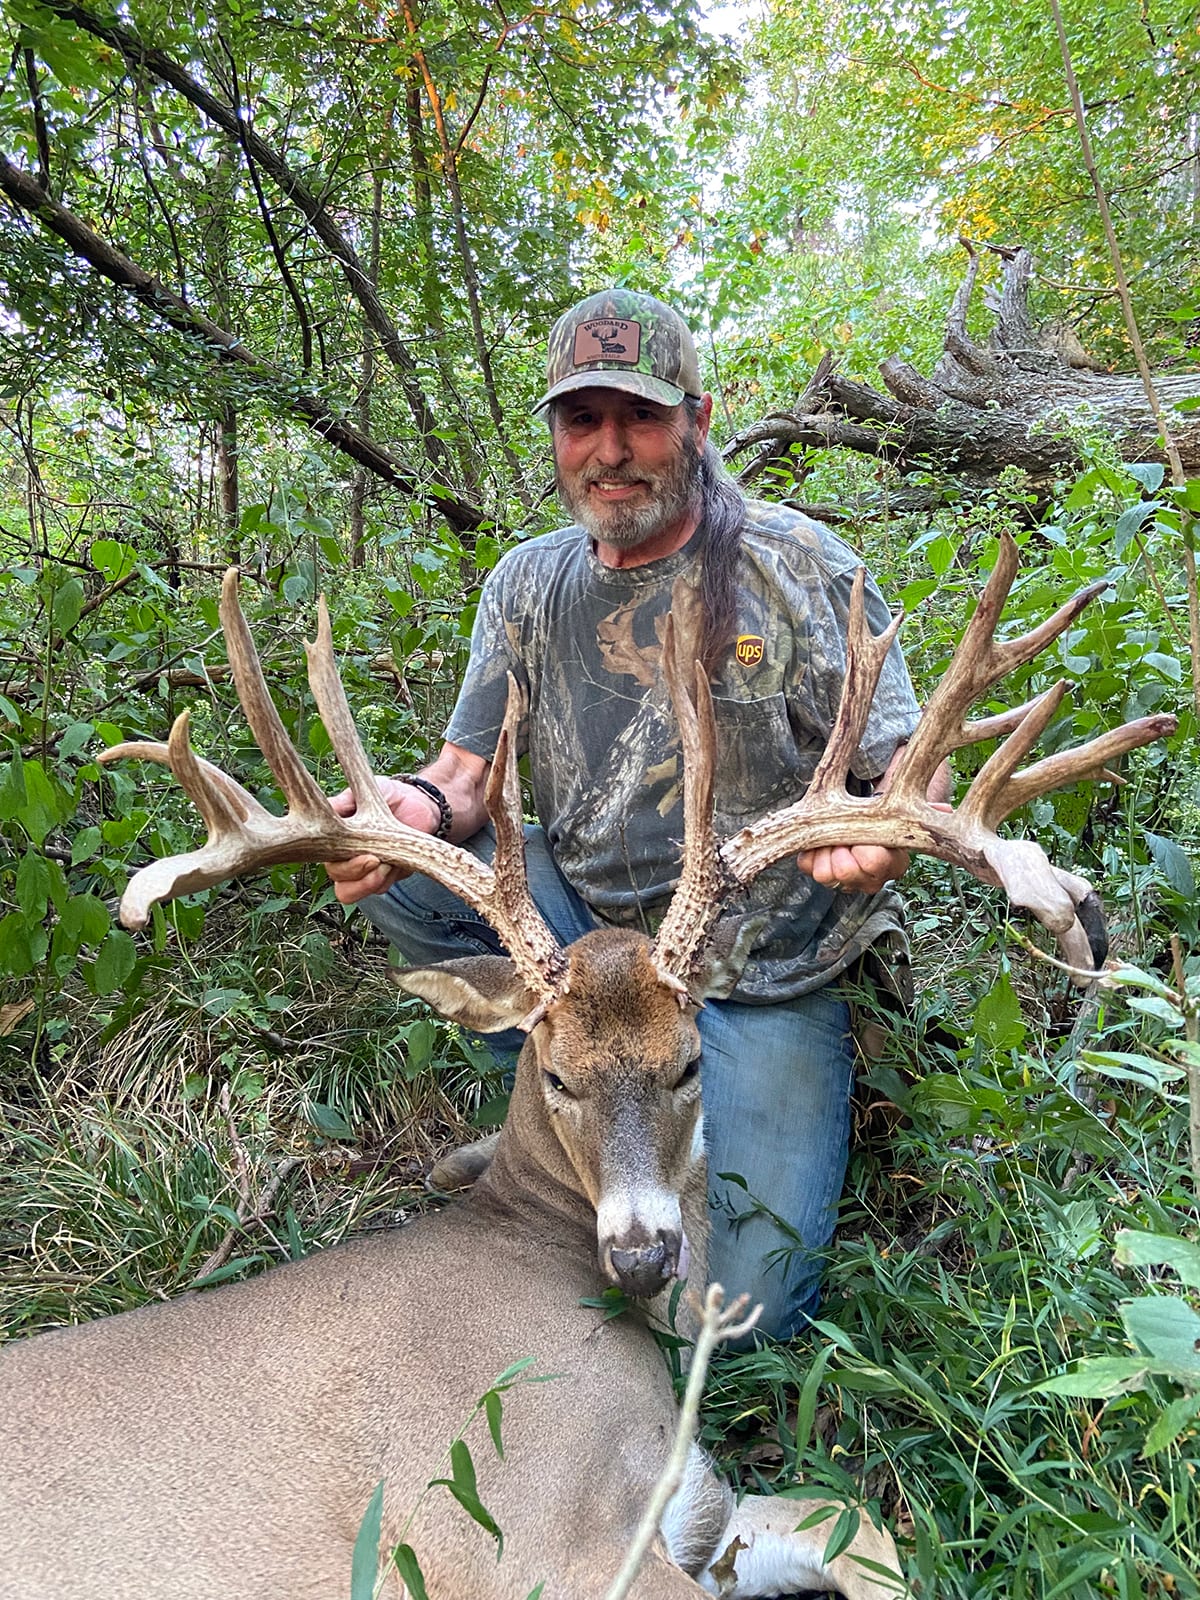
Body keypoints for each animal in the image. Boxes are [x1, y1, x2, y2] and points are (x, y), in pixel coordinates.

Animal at [0, 533, 1174, 1600]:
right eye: (557, 1076)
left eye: (690, 1063)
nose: (646, 1256)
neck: (534, 1242)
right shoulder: (528, 1528)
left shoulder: (692, 1505)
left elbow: (861, 1527)